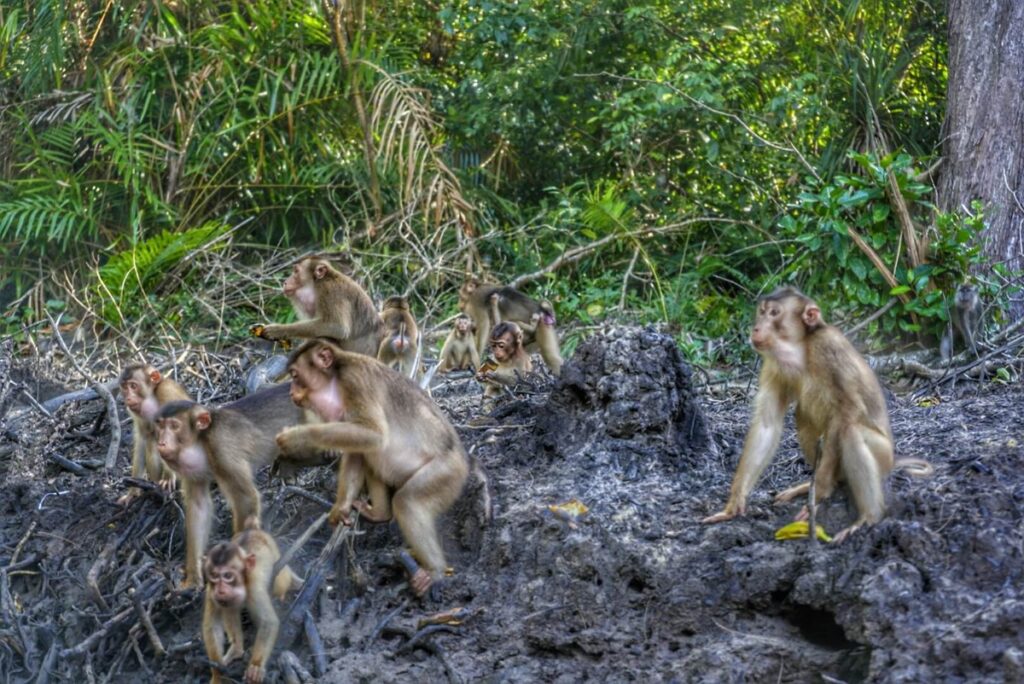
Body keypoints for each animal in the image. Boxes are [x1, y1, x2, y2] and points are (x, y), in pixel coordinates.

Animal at [117, 364, 189, 505]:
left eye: (133, 386)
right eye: (125, 388)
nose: (128, 398)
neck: (153, 399)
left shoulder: (167, 392)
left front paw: (168, 476)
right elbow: (142, 439)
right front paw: (132, 492)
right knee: (151, 440)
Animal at [203, 517, 301, 684]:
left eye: (228, 576)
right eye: (214, 576)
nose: (221, 590)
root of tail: (252, 529)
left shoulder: (254, 588)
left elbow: (269, 622)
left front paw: (256, 665)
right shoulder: (211, 591)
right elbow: (212, 626)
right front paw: (217, 673)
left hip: (275, 553)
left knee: (281, 579)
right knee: (230, 606)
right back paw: (237, 649)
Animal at [255, 256, 384, 357]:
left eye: (296, 271)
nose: (285, 282)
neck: (319, 282)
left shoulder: (330, 291)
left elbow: (337, 327)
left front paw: (279, 330)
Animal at [275, 338, 469, 596]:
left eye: (296, 376)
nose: (290, 391)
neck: (337, 378)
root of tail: (464, 459)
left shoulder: (354, 381)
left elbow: (374, 434)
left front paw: (299, 437)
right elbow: (358, 450)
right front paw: (341, 508)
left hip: (447, 473)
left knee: (407, 501)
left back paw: (435, 570)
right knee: (371, 458)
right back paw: (380, 513)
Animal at [701, 287, 932, 542]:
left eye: (774, 313)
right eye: (762, 312)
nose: (756, 328)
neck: (800, 348)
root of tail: (893, 459)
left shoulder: (828, 347)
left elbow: (848, 410)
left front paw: (821, 491)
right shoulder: (773, 363)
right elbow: (767, 424)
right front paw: (736, 498)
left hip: (883, 456)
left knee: (850, 430)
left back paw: (868, 515)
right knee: (803, 415)